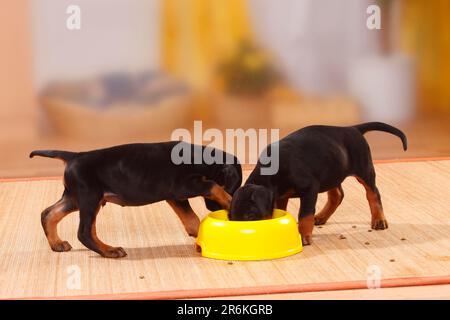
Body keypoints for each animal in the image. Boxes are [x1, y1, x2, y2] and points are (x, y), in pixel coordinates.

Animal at [30, 142, 243, 258]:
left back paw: (57, 244)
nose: (212, 208)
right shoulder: (184, 187)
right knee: (84, 232)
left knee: (48, 213)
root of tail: (73, 156)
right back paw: (109, 251)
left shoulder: (175, 197)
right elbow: (212, 186)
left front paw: (199, 235)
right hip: (89, 197)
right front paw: (229, 201)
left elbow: (191, 219)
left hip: (76, 198)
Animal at [230, 122, 406, 245]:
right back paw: (321, 217)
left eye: (250, 216)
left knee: (373, 193)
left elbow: (305, 214)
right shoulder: (281, 196)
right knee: (337, 196)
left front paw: (303, 235)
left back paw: (379, 220)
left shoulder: (309, 188)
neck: (272, 174)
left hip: (364, 169)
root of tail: (352, 129)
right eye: (231, 218)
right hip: (332, 172)